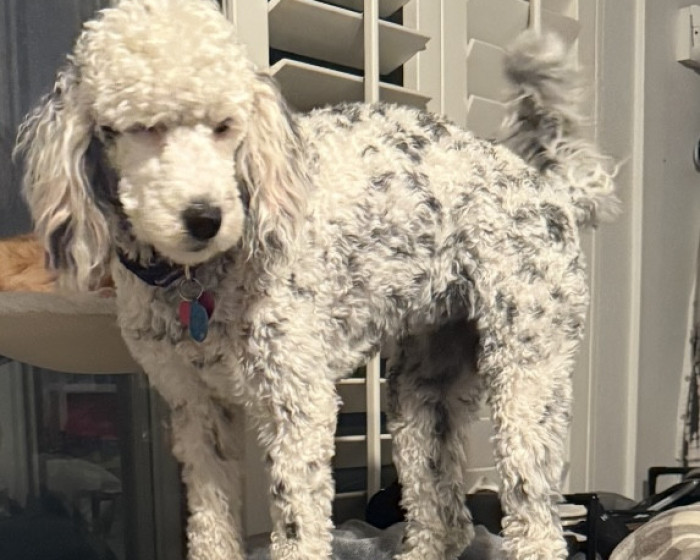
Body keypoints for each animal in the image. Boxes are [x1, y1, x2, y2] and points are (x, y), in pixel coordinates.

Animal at [15, 1, 619, 558]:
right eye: (139, 128)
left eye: (225, 126)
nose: (205, 218)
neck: (201, 279)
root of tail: (551, 188)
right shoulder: (196, 409)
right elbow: (210, 526)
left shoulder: (297, 403)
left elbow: (297, 527)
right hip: (423, 395)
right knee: (446, 516)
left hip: (526, 374)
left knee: (536, 523)